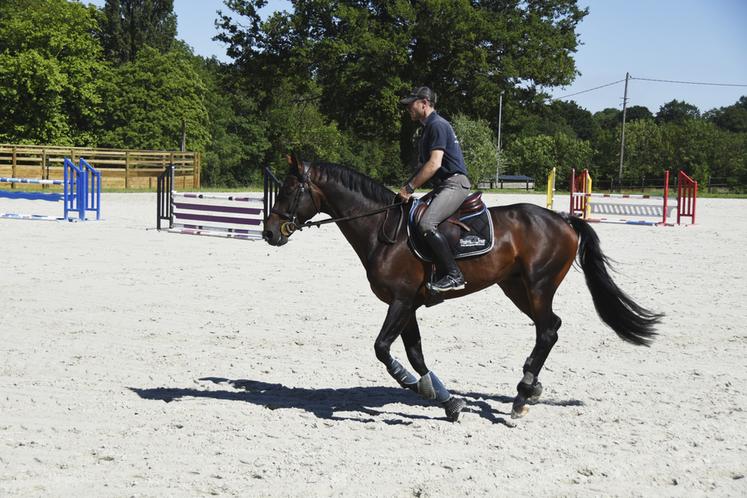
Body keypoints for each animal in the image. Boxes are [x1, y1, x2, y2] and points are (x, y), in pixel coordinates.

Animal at [262, 156, 662, 421]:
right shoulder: (407, 305)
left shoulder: (401, 302)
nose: (269, 232)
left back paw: (521, 396)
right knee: (549, 327)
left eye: (288, 190)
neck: (382, 230)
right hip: (515, 287)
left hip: (538, 284)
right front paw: (444, 399)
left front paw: (418, 388)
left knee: (548, 329)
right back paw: (530, 386)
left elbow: (383, 349)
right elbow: (416, 354)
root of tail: (562, 219)